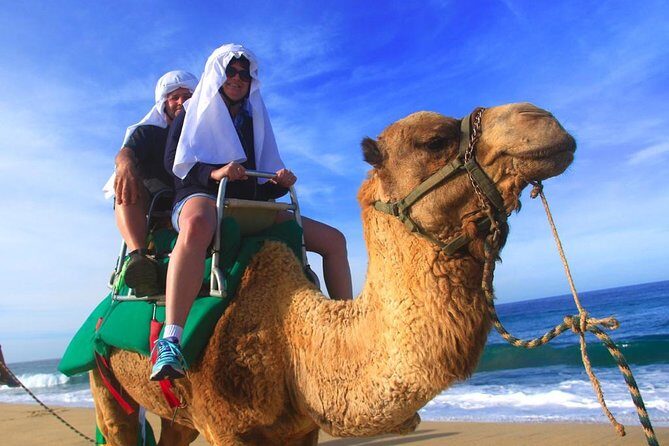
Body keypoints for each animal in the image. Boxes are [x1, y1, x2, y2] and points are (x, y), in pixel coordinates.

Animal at [91, 102, 576, 445]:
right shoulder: (225, 426)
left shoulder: (301, 428)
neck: (290, 336)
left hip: (178, 416)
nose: (544, 119)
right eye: (434, 141)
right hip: (104, 381)